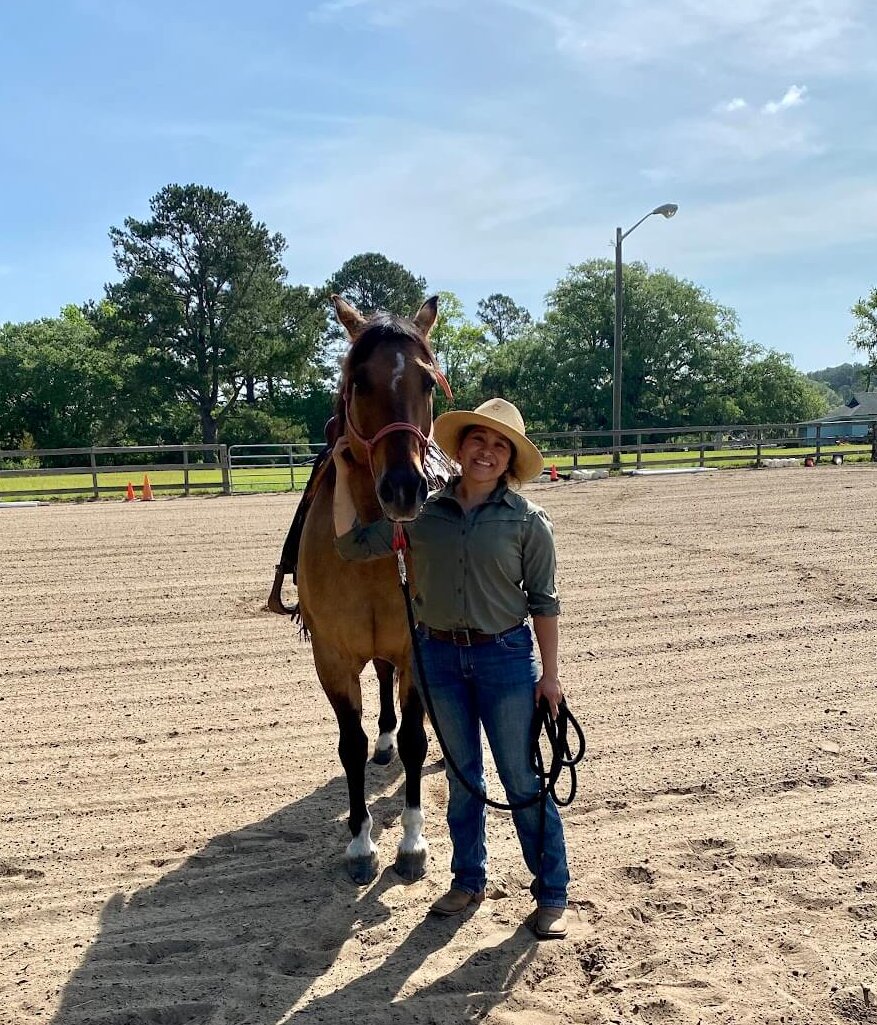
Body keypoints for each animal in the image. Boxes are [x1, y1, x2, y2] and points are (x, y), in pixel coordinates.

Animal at [272, 294, 451, 884]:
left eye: (427, 382)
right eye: (359, 382)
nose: (405, 488)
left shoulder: (415, 647)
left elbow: (418, 740)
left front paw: (413, 843)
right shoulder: (332, 657)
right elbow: (350, 745)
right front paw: (359, 845)